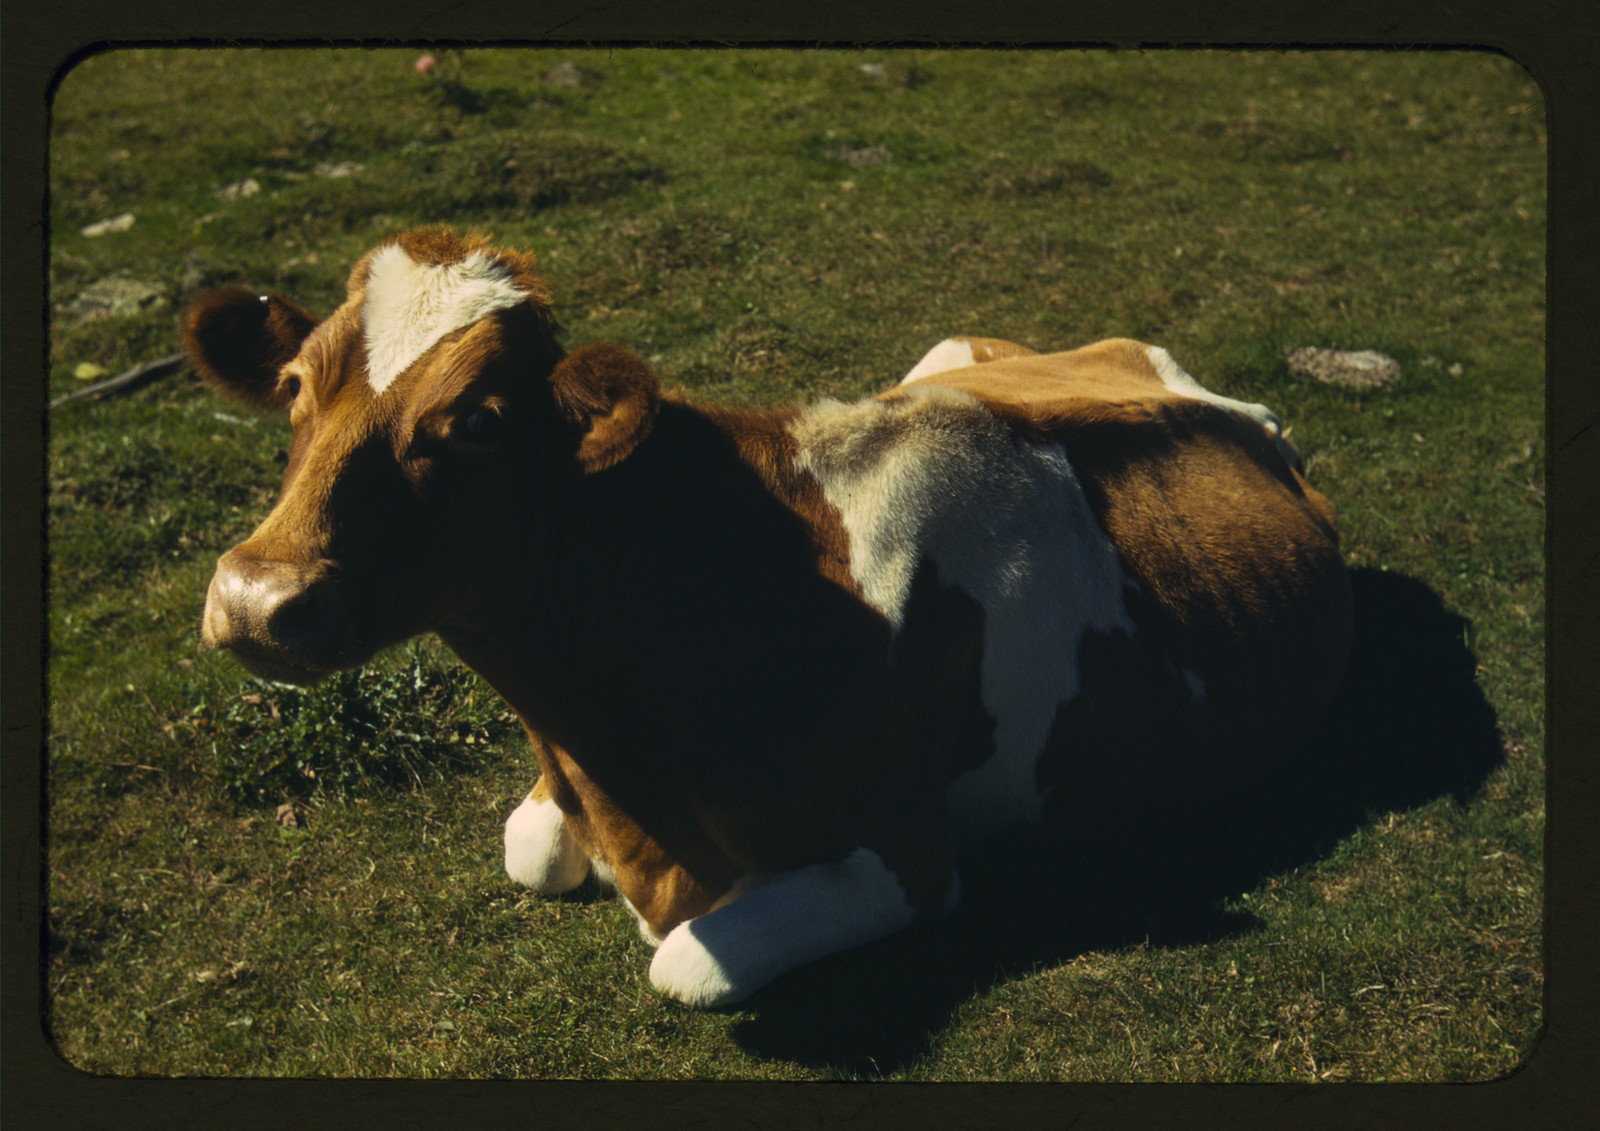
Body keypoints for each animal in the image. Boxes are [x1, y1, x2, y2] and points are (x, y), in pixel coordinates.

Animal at [184, 228, 1352, 1008]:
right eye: (295, 384)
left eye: (477, 420)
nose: (256, 597)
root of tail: (1221, 400)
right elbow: (531, 849)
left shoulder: (907, 857)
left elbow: (684, 964)